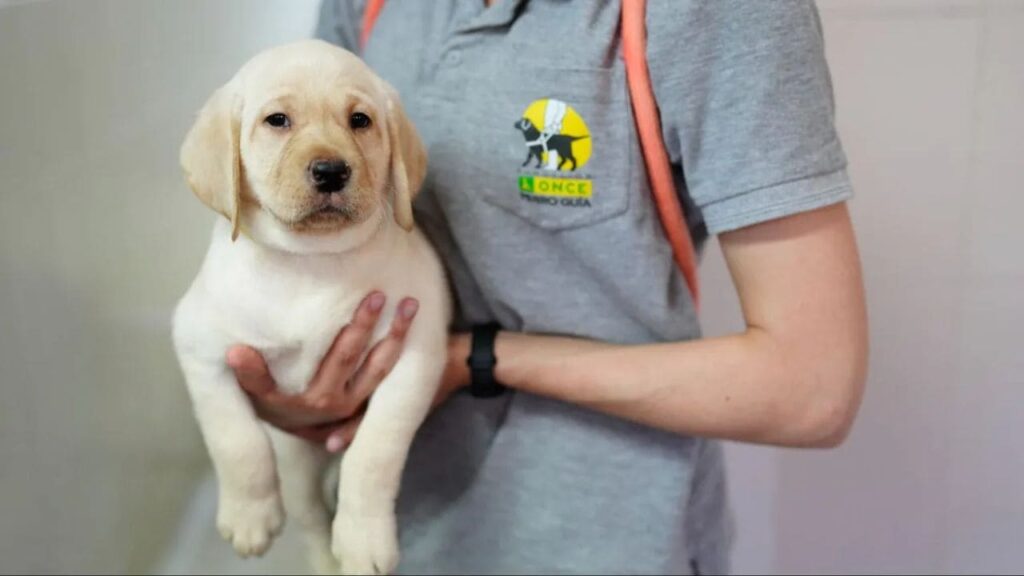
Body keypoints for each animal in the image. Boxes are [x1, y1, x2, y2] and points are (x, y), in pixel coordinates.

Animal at [172, 38, 452, 569]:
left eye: (360, 120)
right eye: (277, 120)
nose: (331, 170)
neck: (311, 263)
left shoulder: (415, 354)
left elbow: (375, 452)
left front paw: (364, 539)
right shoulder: (200, 347)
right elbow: (236, 439)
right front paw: (249, 516)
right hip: (297, 466)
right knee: (311, 520)